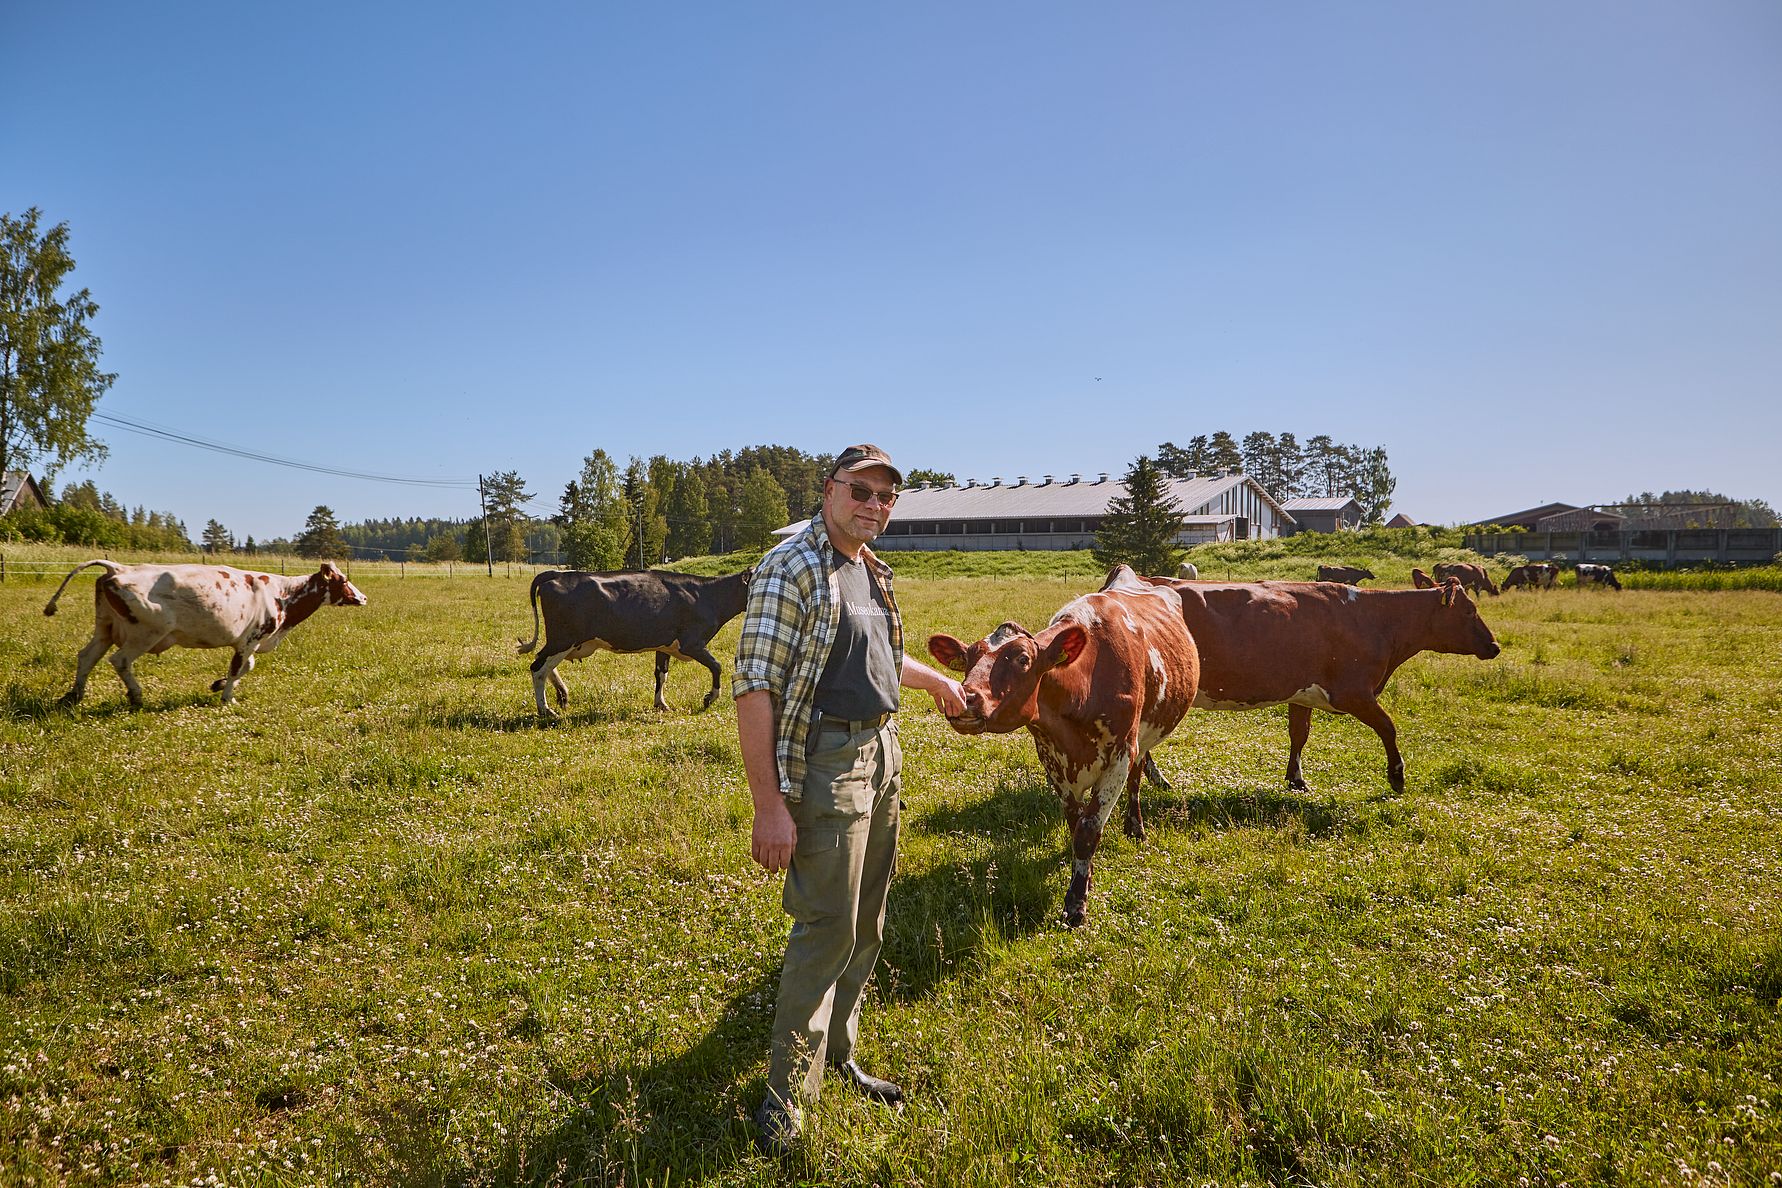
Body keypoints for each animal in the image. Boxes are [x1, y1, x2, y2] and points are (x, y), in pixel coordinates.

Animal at [41, 559, 365, 705]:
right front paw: (228, 696)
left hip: (105, 628)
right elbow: (238, 668)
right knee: (119, 660)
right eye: (343, 580)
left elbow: (246, 666)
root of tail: (119, 568)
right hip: (145, 633)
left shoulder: (246, 641)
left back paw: (75, 695)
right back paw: (135, 695)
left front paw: (218, 685)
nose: (362, 598)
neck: (282, 595)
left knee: (87, 656)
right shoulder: (250, 639)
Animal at [926, 566, 1204, 926]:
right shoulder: (1052, 759)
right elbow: (1076, 824)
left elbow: (1088, 830)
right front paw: (1084, 877)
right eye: (969, 659)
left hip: (1143, 737)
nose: (964, 698)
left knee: (1137, 776)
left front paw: (1076, 904)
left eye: (1023, 658)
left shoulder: (1119, 754)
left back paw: (1135, 828)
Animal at [1140, 569, 1504, 794]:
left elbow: (1299, 734)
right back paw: (1158, 778)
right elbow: (1388, 728)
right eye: (1470, 611)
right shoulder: (1353, 693)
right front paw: (1397, 776)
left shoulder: (1302, 694)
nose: (1495, 646)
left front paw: (1296, 779)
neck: (1378, 618)